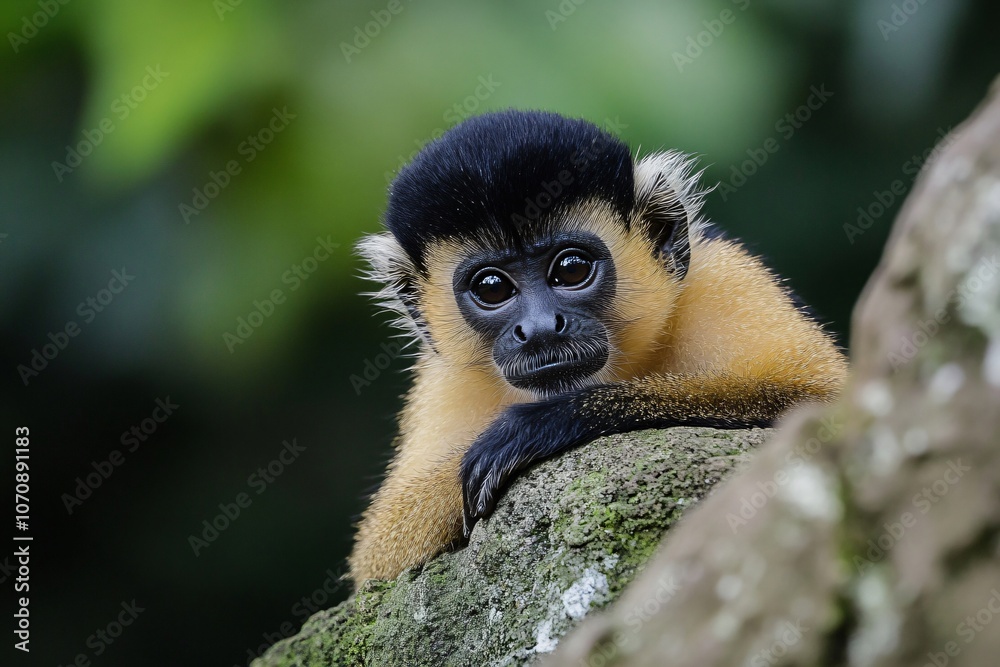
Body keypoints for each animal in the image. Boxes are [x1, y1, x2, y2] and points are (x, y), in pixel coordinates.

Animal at [348, 109, 847, 585]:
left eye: (571, 269)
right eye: (492, 288)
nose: (539, 328)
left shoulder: (723, 276)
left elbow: (822, 405)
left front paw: (547, 423)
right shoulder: (441, 378)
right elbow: (383, 552)